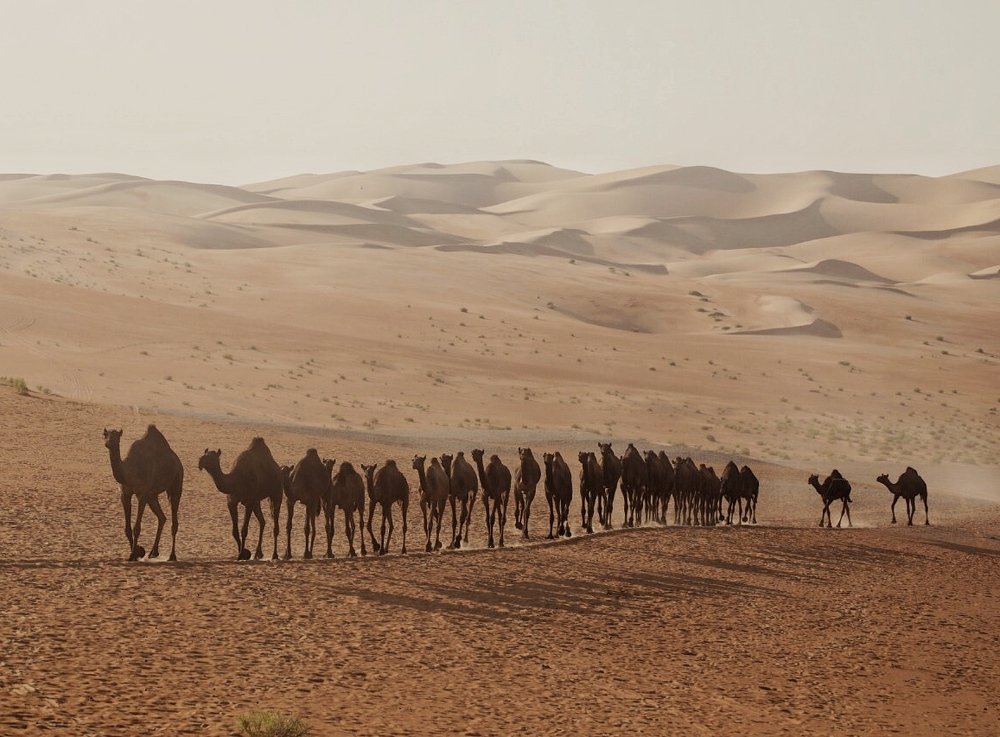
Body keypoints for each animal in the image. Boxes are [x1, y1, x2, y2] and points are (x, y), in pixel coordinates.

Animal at [103, 425, 183, 561]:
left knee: (174, 521)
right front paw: (137, 552)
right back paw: (153, 552)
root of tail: (178, 462)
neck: (129, 472)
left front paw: (133, 554)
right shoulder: (125, 494)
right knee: (162, 518)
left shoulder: (142, 494)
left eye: (117, 436)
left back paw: (172, 556)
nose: (108, 443)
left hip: (176, 483)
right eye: (105, 435)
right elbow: (127, 528)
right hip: (152, 496)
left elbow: (137, 527)